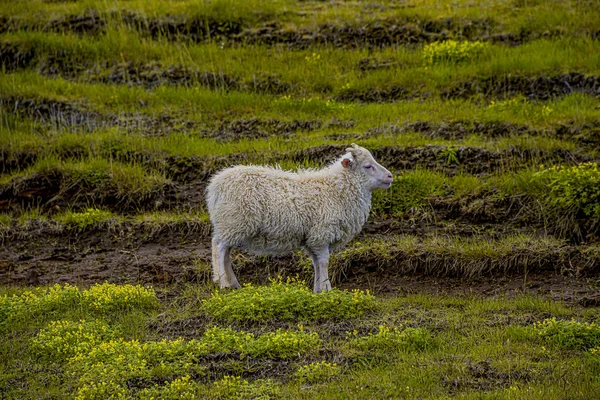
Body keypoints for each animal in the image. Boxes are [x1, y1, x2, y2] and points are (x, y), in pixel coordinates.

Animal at [206, 145, 394, 294]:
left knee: (226, 252)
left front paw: (318, 290)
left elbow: (316, 263)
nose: (390, 176)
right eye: (368, 166)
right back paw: (223, 282)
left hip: (231, 224)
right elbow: (324, 261)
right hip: (234, 221)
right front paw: (327, 289)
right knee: (219, 248)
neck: (337, 188)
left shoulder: (312, 239)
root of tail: (215, 186)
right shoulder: (321, 234)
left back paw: (234, 283)